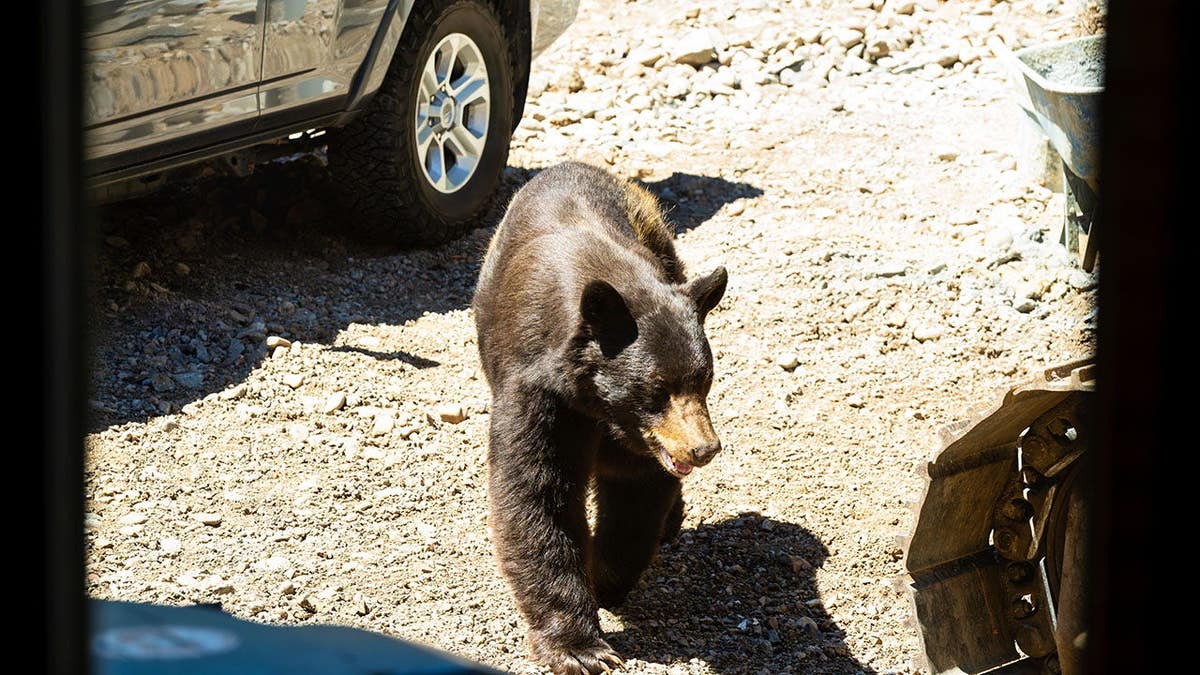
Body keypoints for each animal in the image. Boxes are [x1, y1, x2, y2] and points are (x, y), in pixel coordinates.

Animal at [472, 162, 728, 674]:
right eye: (658, 387)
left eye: (704, 379)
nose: (704, 448)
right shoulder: (538, 391)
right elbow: (537, 493)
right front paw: (579, 648)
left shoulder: (641, 436)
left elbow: (636, 487)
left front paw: (606, 578)